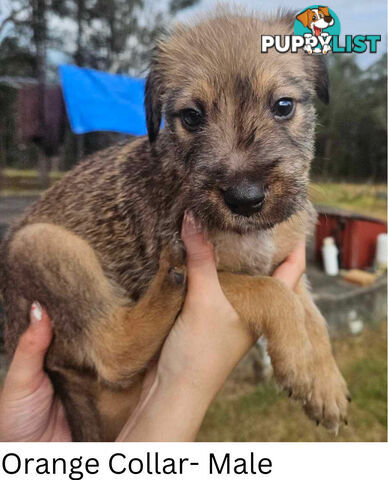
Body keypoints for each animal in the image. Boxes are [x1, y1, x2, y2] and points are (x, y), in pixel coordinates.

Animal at [0, 9, 350, 440]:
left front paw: (324, 382)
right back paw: (168, 285)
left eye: (283, 105)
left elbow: (312, 315)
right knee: (112, 351)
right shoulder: (215, 275)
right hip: (41, 244)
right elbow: (273, 294)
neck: (254, 234)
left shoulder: (286, 264)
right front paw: (299, 366)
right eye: (192, 117)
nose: (245, 198)